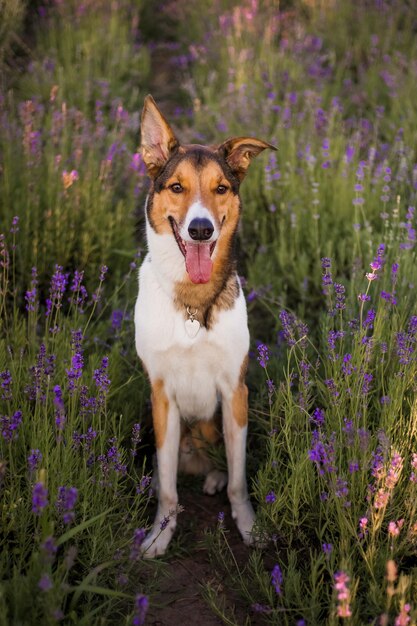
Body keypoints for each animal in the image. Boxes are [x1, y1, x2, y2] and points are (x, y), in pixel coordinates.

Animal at [135, 96, 274, 556]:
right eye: (177, 187)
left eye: (221, 188)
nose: (200, 229)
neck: (194, 306)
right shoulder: (161, 395)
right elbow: (168, 488)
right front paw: (160, 533)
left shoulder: (234, 392)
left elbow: (238, 480)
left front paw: (248, 526)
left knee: (221, 464)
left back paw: (212, 476)